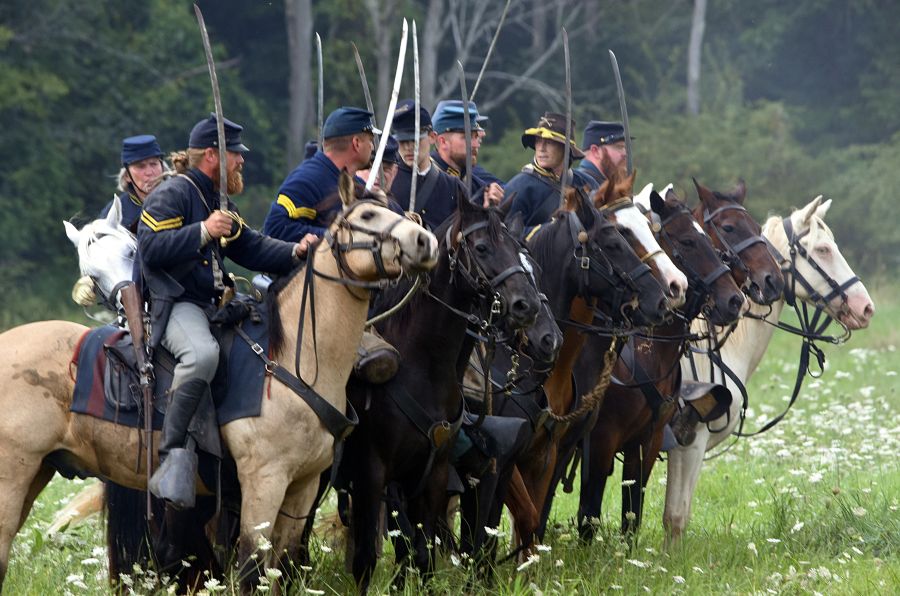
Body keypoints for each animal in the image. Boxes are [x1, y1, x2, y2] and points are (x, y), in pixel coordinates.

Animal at [0, 172, 438, 592]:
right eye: (367, 216)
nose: (425, 241)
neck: (290, 360)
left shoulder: (302, 489)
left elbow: (280, 570)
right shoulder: (263, 484)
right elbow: (250, 572)